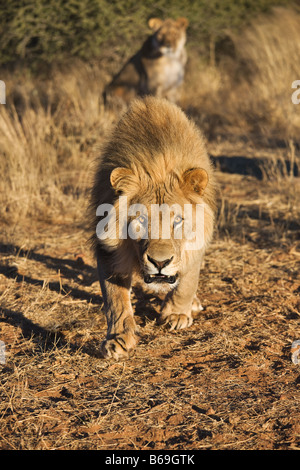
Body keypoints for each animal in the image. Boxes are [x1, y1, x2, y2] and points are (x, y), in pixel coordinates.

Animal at [90, 96, 217, 360]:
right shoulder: (108, 251)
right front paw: (118, 339)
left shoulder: (195, 244)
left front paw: (177, 314)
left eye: (178, 221)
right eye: (141, 221)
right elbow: (115, 298)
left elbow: (187, 281)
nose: (160, 263)